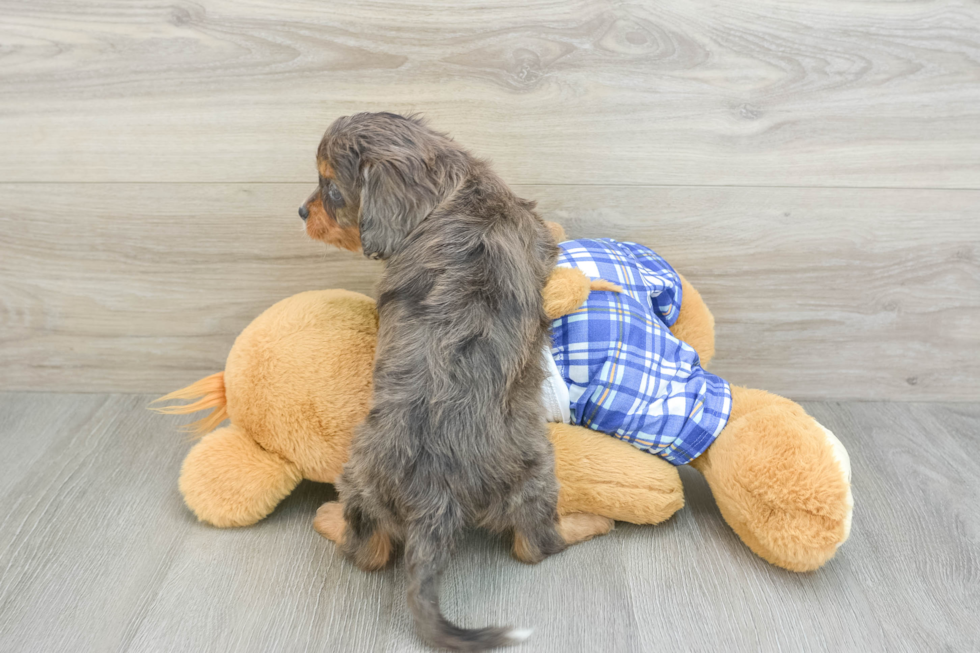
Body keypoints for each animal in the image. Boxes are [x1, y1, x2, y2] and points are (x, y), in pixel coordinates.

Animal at [298, 114, 608, 648]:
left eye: (331, 188)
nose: (301, 211)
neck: (456, 192)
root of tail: (435, 495)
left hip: (363, 476)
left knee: (372, 550)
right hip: (536, 469)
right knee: (534, 544)